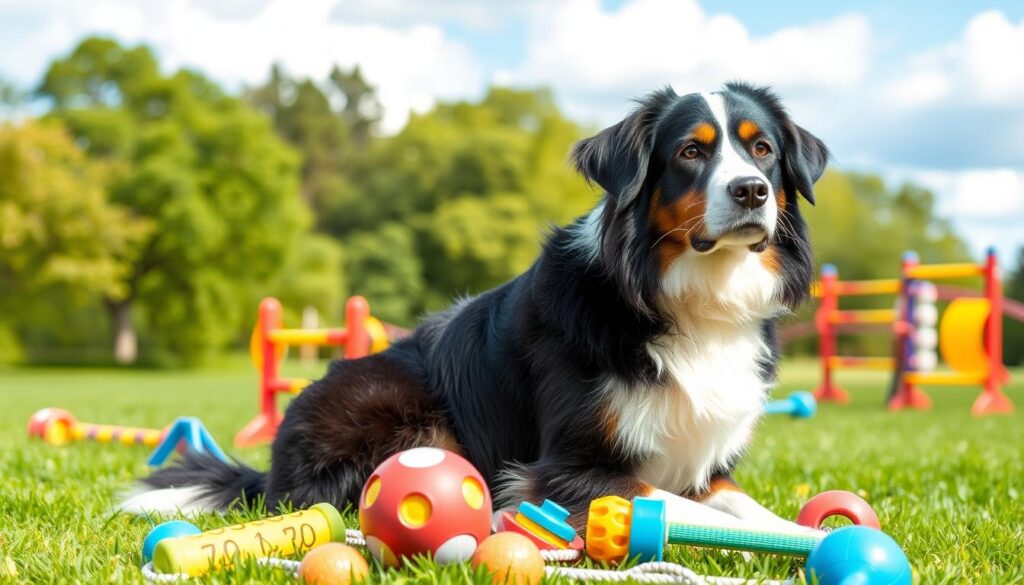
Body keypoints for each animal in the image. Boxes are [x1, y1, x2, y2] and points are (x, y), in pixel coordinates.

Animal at [125, 81, 831, 536]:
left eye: (763, 149)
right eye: (690, 151)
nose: (752, 190)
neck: (688, 293)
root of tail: (270, 468)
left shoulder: (706, 465)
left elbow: (742, 508)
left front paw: (807, 534)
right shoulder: (566, 469)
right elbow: (676, 508)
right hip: (403, 412)